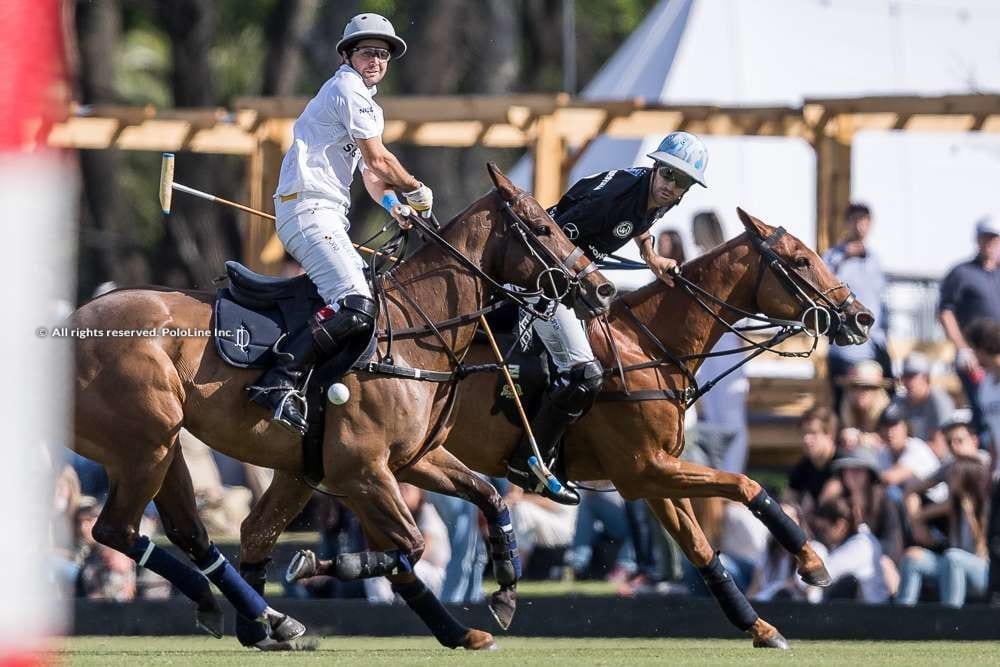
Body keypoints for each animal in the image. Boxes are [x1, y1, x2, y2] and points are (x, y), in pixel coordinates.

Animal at [70, 164, 608, 648]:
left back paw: (262, 618)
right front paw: (321, 564)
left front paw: (493, 605)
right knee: (117, 529)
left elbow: (487, 499)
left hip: (167, 446)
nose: (600, 289)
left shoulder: (405, 461)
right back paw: (243, 609)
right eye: (544, 227)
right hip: (145, 443)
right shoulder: (361, 470)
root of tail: (70, 324)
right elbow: (409, 548)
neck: (414, 333)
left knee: (193, 533)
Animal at [238, 207, 872, 648]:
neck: (651, 347)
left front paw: (760, 627)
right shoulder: (644, 469)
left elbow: (701, 549)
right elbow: (749, 485)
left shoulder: (652, 477)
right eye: (799, 260)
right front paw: (811, 565)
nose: (861, 318)